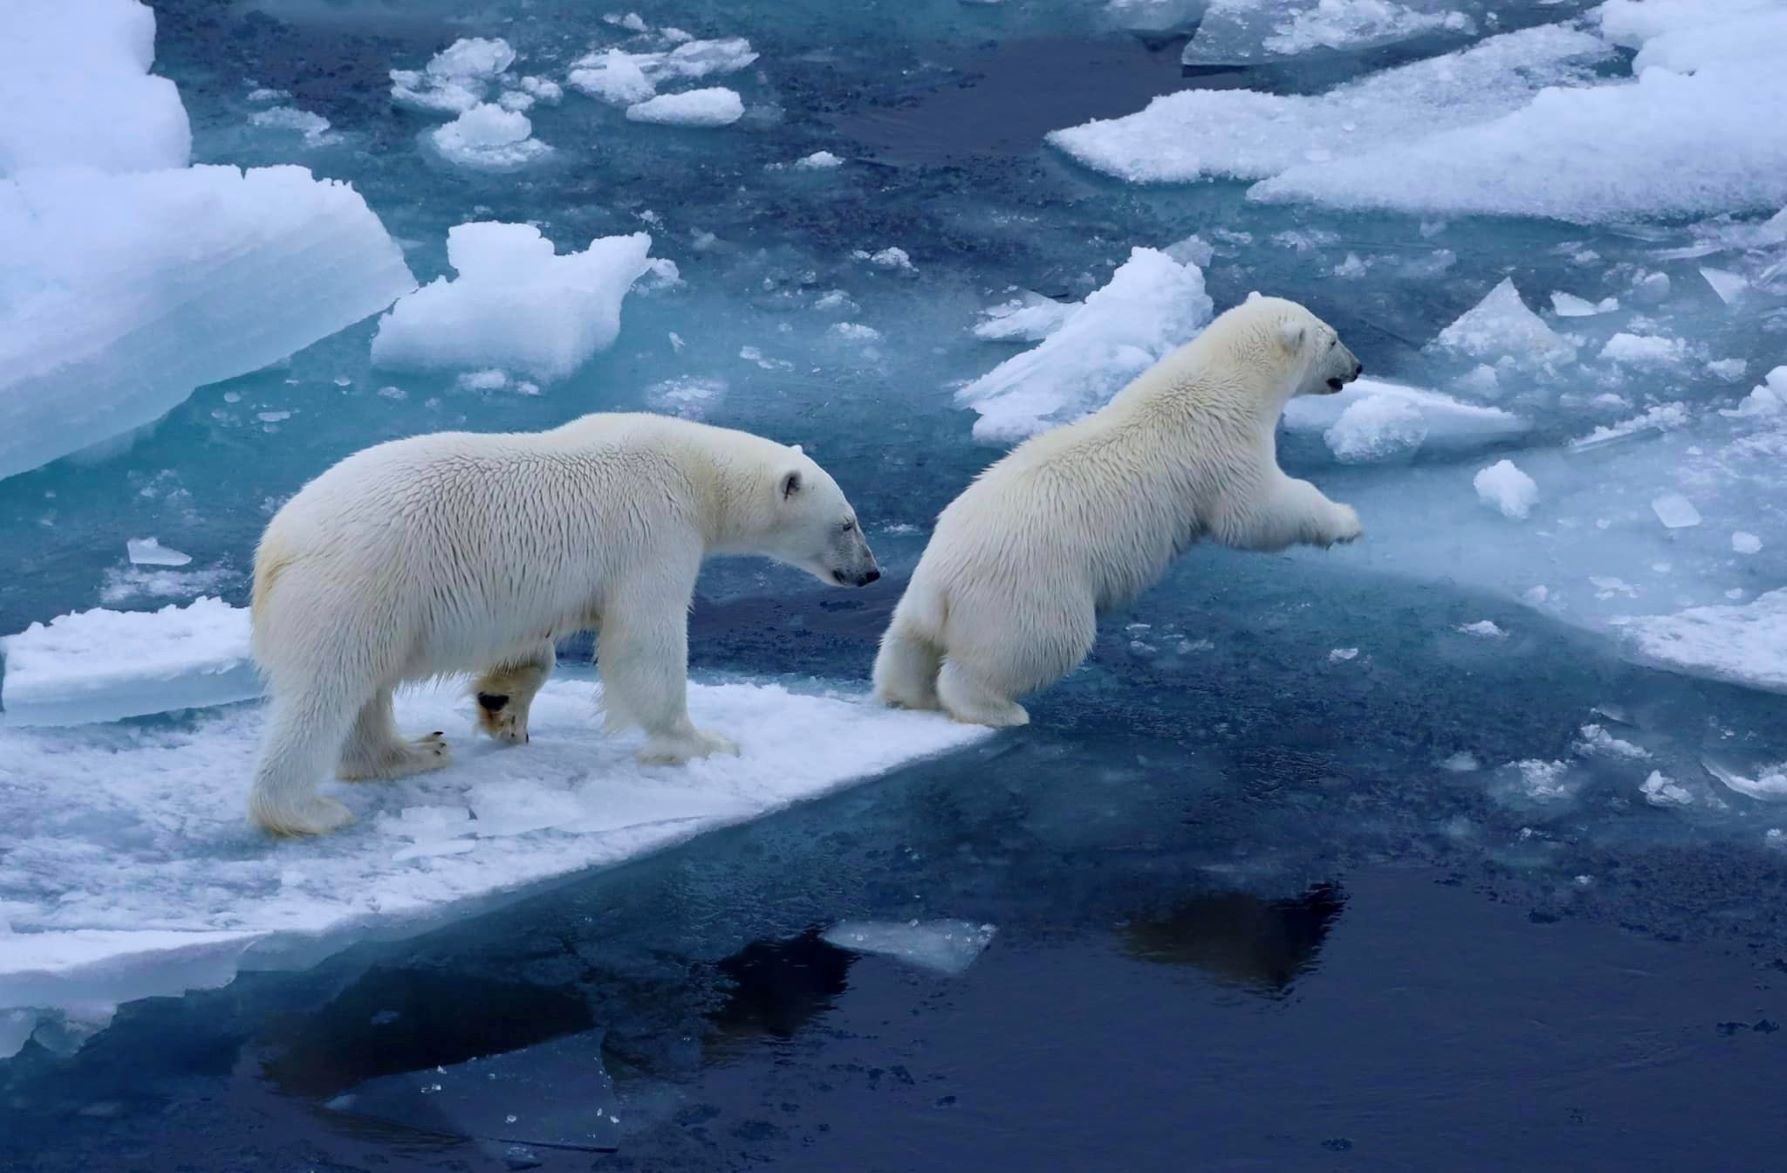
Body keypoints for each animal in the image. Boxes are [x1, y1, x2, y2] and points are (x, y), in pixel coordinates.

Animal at [247, 412, 880, 837]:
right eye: (848, 523)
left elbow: (534, 645)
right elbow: (644, 641)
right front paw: (702, 741)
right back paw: (306, 810)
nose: (872, 572)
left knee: (366, 690)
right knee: (327, 692)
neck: (695, 471)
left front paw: (503, 706)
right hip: (358, 586)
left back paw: (414, 750)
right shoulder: (654, 530)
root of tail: (273, 549)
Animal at [872, 295, 1363, 728]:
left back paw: (905, 694)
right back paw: (999, 710)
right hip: (1029, 588)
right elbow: (1257, 513)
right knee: (1036, 646)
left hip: (927, 594)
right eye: (1334, 340)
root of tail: (941, 581)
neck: (1226, 378)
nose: (1358, 367)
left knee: (906, 643)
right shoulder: (1222, 446)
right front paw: (1347, 522)